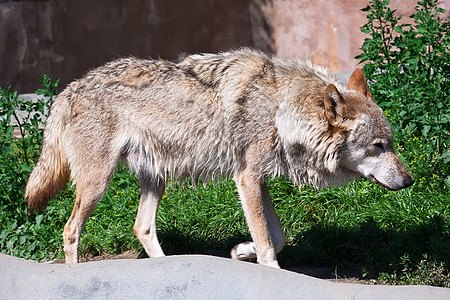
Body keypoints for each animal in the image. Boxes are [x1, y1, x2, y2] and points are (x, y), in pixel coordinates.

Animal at [23, 48, 412, 266]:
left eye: (391, 144)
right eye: (378, 146)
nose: (409, 180)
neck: (281, 112)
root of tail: (69, 88)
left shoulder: (258, 180)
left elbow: (277, 238)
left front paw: (241, 252)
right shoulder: (247, 179)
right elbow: (269, 247)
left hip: (156, 178)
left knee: (142, 227)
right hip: (98, 184)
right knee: (71, 230)